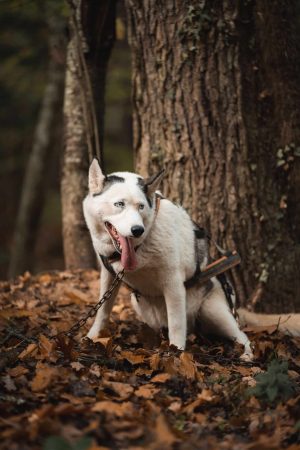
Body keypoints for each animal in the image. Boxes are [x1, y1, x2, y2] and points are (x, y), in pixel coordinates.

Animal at [82, 160, 253, 360]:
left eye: (141, 206)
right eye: (119, 204)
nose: (137, 230)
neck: (142, 244)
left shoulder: (173, 282)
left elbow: (176, 323)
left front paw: (176, 352)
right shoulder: (108, 276)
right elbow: (103, 311)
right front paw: (92, 337)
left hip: (213, 311)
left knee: (242, 335)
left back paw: (247, 354)